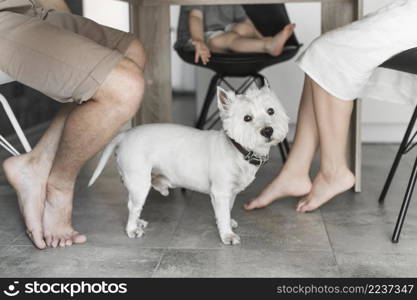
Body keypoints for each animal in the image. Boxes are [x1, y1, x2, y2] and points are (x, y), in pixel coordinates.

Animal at [89, 80, 288, 246]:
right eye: (247, 118)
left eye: (271, 111)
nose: (268, 130)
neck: (238, 149)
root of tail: (125, 134)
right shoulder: (220, 191)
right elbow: (223, 213)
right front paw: (227, 235)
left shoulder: (230, 192)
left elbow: (228, 209)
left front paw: (227, 223)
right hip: (139, 182)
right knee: (133, 206)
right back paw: (132, 229)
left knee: (134, 206)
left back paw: (138, 222)